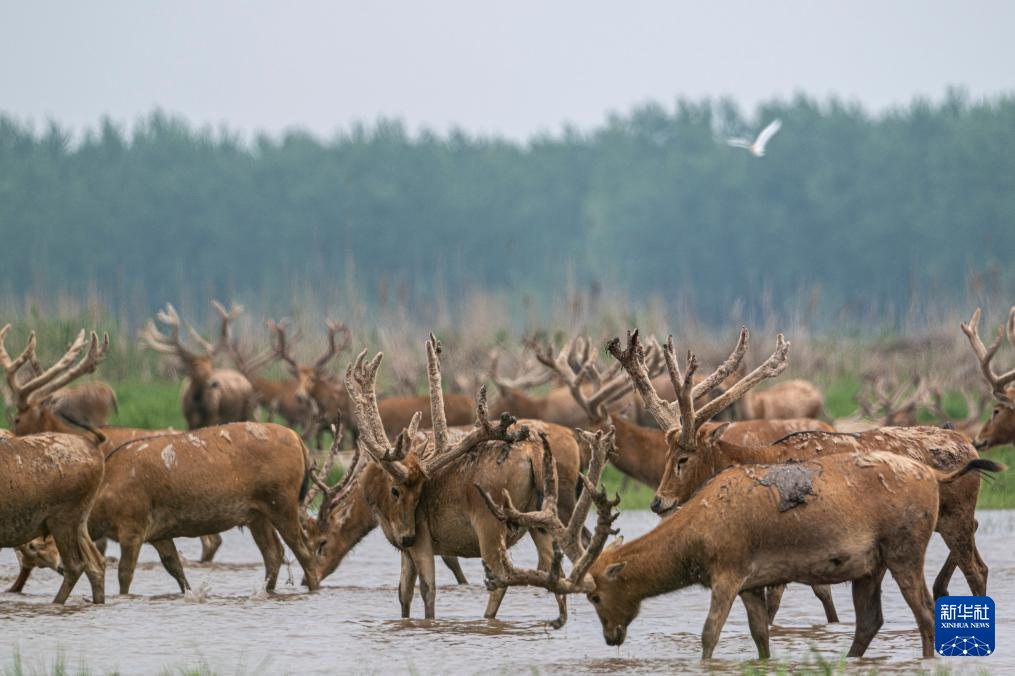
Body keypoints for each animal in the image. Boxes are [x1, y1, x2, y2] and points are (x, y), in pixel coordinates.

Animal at [141, 301, 256, 430]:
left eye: (211, 365)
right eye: (195, 365)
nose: (214, 382)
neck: (197, 406)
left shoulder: (213, 417)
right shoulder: (188, 421)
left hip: (249, 410)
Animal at [337, 335, 600, 624]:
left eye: (414, 493)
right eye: (398, 491)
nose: (406, 536)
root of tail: (533, 452)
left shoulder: (423, 538)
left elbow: (428, 590)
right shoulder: (407, 550)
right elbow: (403, 594)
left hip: (490, 520)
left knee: (503, 576)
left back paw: (487, 618)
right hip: (537, 519)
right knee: (555, 566)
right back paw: (558, 619)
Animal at [481, 435, 1002, 660]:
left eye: (592, 594)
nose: (611, 637)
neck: (694, 545)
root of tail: (933, 474)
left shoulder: (728, 571)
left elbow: (709, 635)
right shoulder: (754, 581)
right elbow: (760, 637)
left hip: (905, 547)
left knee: (926, 611)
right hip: (867, 564)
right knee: (870, 621)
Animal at [609, 328, 998, 620]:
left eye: (684, 458)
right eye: (665, 454)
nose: (658, 502)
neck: (766, 457)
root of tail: (969, 445)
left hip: (956, 516)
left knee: (978, 569)